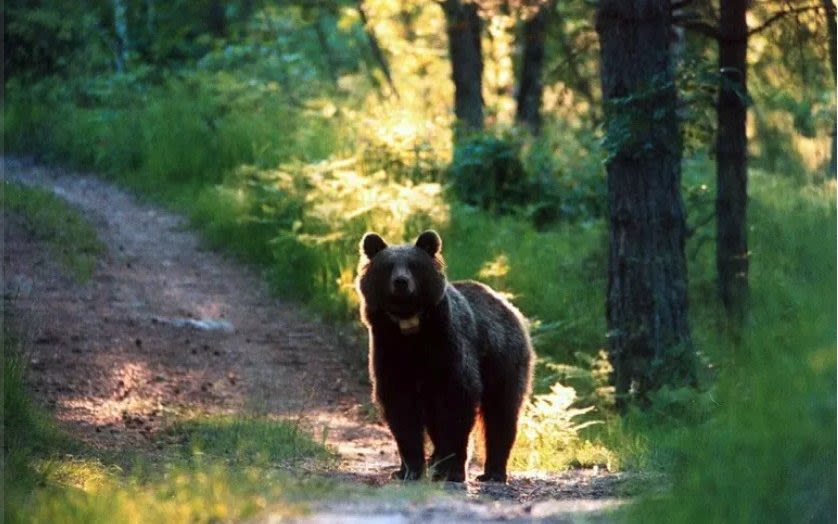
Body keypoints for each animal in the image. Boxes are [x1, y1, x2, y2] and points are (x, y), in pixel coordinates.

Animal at [358, 229, 536, 484]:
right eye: (388, 266)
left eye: (414, 265)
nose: (401, 282)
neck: (410, 329)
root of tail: (508, 306)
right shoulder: (390, 350)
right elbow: (400, 408)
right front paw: (410, 470)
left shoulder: (448, 347)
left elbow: (457, 401)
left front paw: (451, 469)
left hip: (503, 358)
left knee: (501, 412)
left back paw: (492, 472)